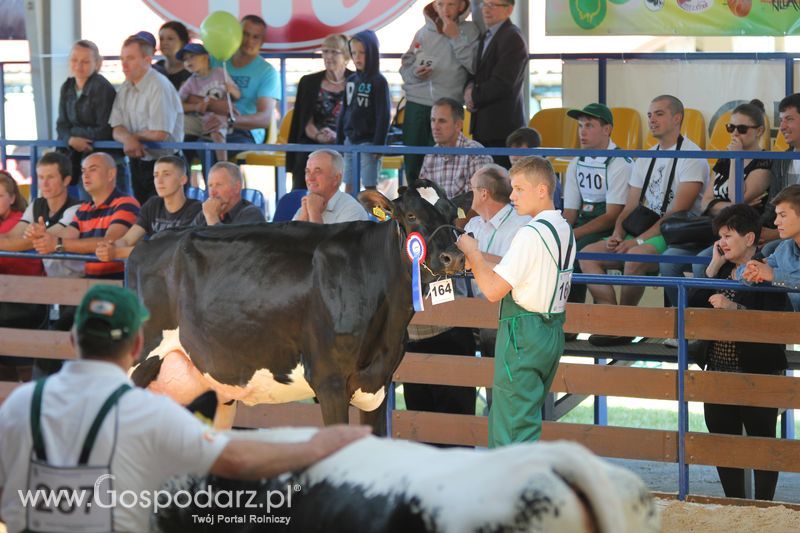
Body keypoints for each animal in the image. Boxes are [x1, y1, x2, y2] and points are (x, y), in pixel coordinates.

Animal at [129, 181, 466, 434]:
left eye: (452, 214)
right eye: (410, 215)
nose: (454, 257)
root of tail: (149, 242)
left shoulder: (377, 386)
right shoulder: (329, 381)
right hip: (139, 362)